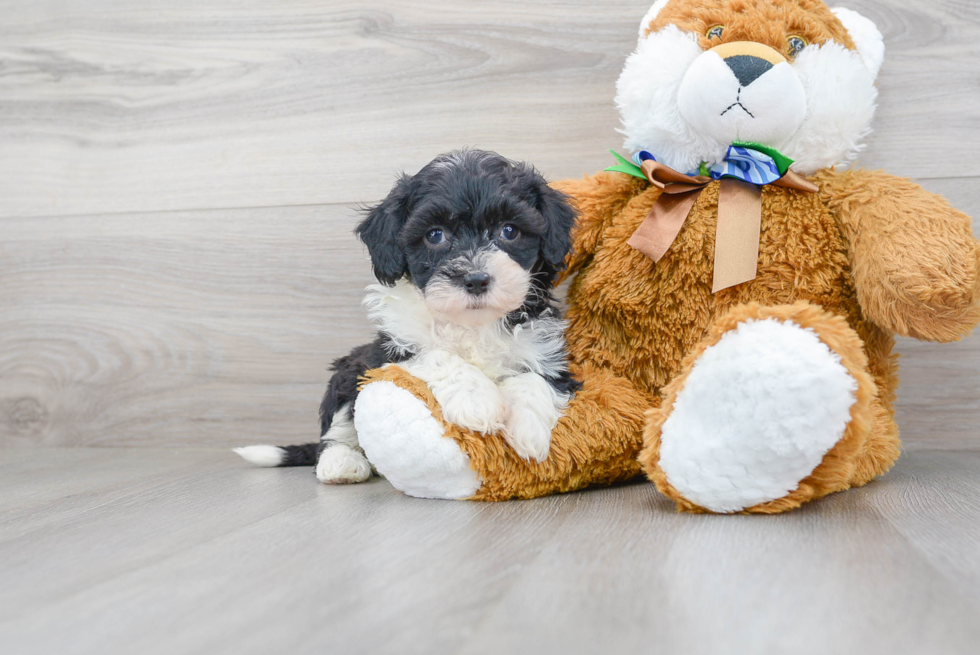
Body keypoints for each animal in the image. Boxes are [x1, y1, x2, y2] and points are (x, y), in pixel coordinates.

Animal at [233, 151, 580, 484]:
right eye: (435, 235)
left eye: (509, 230)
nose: (476, 280)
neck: (471, 324)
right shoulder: (387, 353)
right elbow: (437, 355)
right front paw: (476, 398)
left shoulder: (547, 348)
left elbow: (535, 377)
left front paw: (529, 427)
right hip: (349, 371)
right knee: (337, 426)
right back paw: (341, 463)